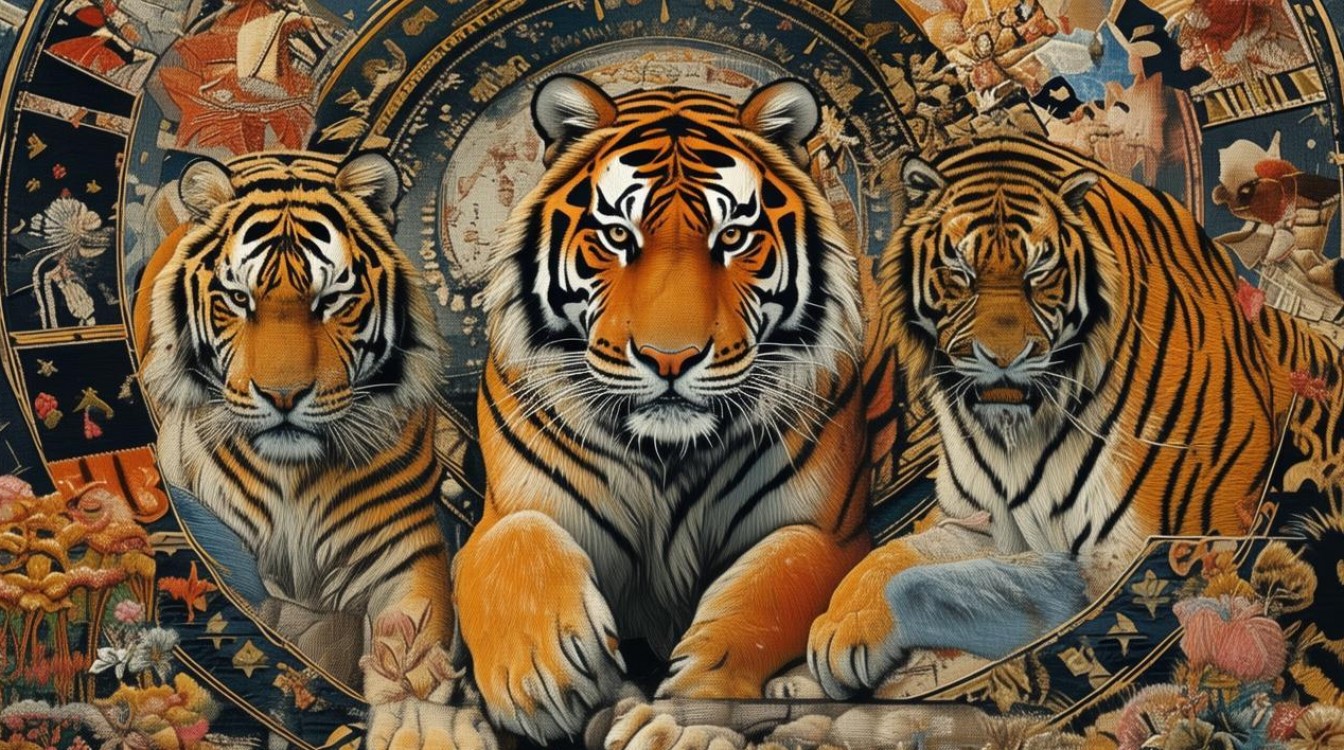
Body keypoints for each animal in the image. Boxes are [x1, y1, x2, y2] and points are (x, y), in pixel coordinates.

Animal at [134, 151, 490, 749]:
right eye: (239, 299)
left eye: (331, 301)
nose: (282, 395)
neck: (296, 475)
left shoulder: (406, 551)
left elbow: (413, 640)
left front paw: (416, 721)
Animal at [452, 74, 883, 745]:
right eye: (617, 236)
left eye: (732, 237)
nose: (670, 359)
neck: (667, 453)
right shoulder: (506, 512)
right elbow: (512, 539)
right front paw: (544, 677)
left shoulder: (832, 534)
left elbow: (770, 587)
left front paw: (694, 711)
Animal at [807, 135, 1344, 699]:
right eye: (962, 274)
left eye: (1038, 273)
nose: (1002, 357)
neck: (1015, 438)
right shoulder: (977, 521)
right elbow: (893, 554)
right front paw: (839, 625)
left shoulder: (1123, 563)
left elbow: (950, 584)